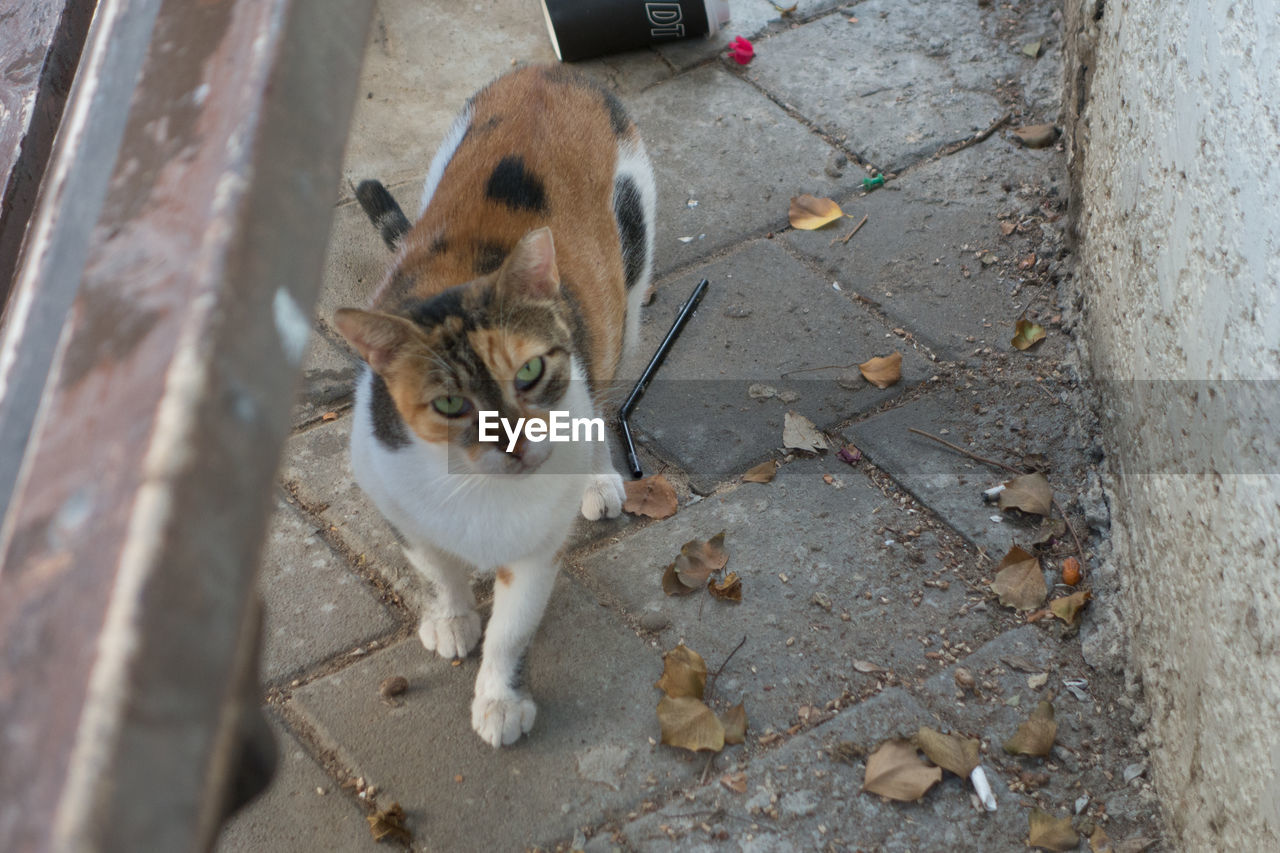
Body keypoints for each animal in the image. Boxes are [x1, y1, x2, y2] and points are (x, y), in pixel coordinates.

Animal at [335, 66, 655, 742]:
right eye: (450, 403)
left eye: (530, 372)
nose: (519, 444)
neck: (476, 488)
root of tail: (548, 73)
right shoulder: (389, 493)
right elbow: (435, 567)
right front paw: (451, 616)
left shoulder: (536, 549)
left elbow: (512, 630)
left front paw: (499, 700)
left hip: (631, 278)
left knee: (610, 370)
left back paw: (599, 475)